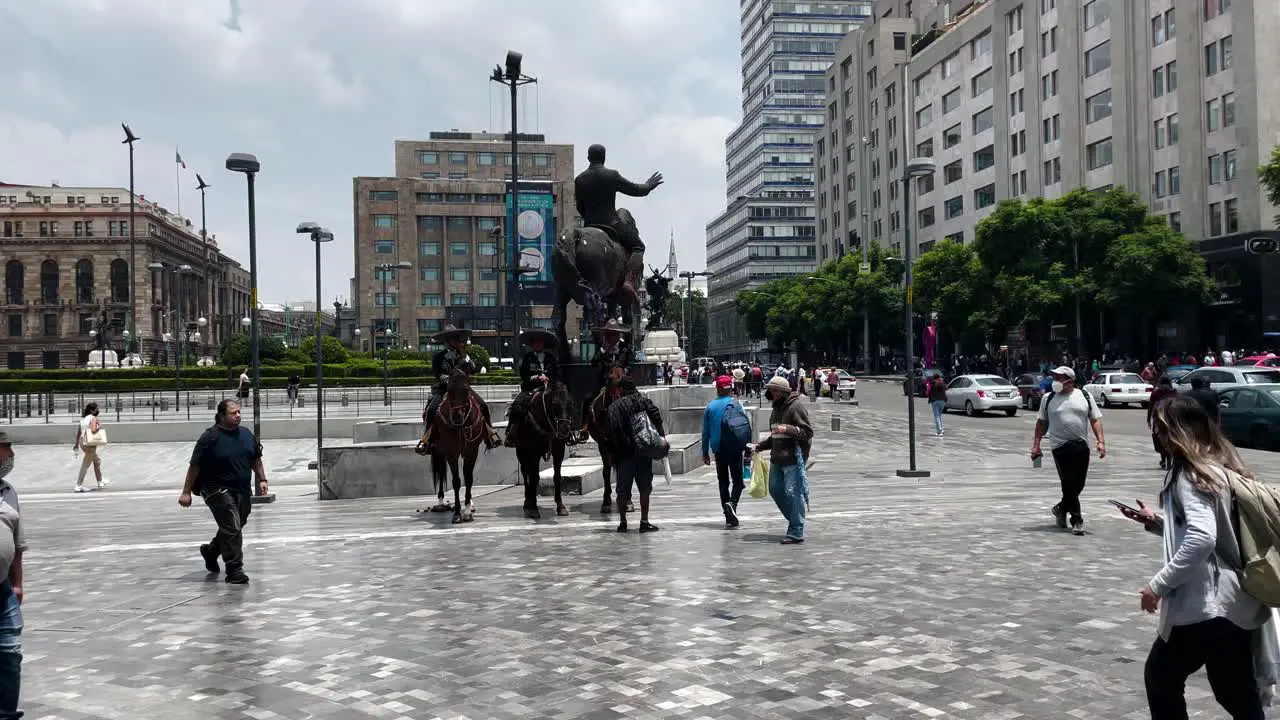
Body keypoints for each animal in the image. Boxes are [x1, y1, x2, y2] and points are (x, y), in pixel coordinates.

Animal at [512, 376, 578, 515]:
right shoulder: (534, 453)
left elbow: (557, 477)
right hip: (521, 451)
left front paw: (560, 506)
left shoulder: (559, 451)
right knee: (525, 472)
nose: (565, 429)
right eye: (554, 404)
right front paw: (533, 508)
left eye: (570, 404)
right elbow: (534, 477)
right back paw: (527, 501)